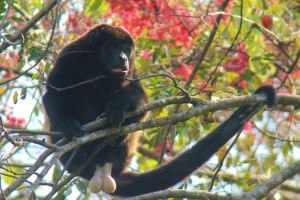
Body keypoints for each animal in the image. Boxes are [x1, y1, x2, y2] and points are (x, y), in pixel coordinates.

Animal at [42, 23, 276, 197]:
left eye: (126, 50)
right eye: (113, 46)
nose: (123, 58)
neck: (96, 66)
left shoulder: (131, 69)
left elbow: (140, 97)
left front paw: (118, 105)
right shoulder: (71, 55)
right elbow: (52, 94)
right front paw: (67, 126)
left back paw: (114, 133)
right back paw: (77, 151)